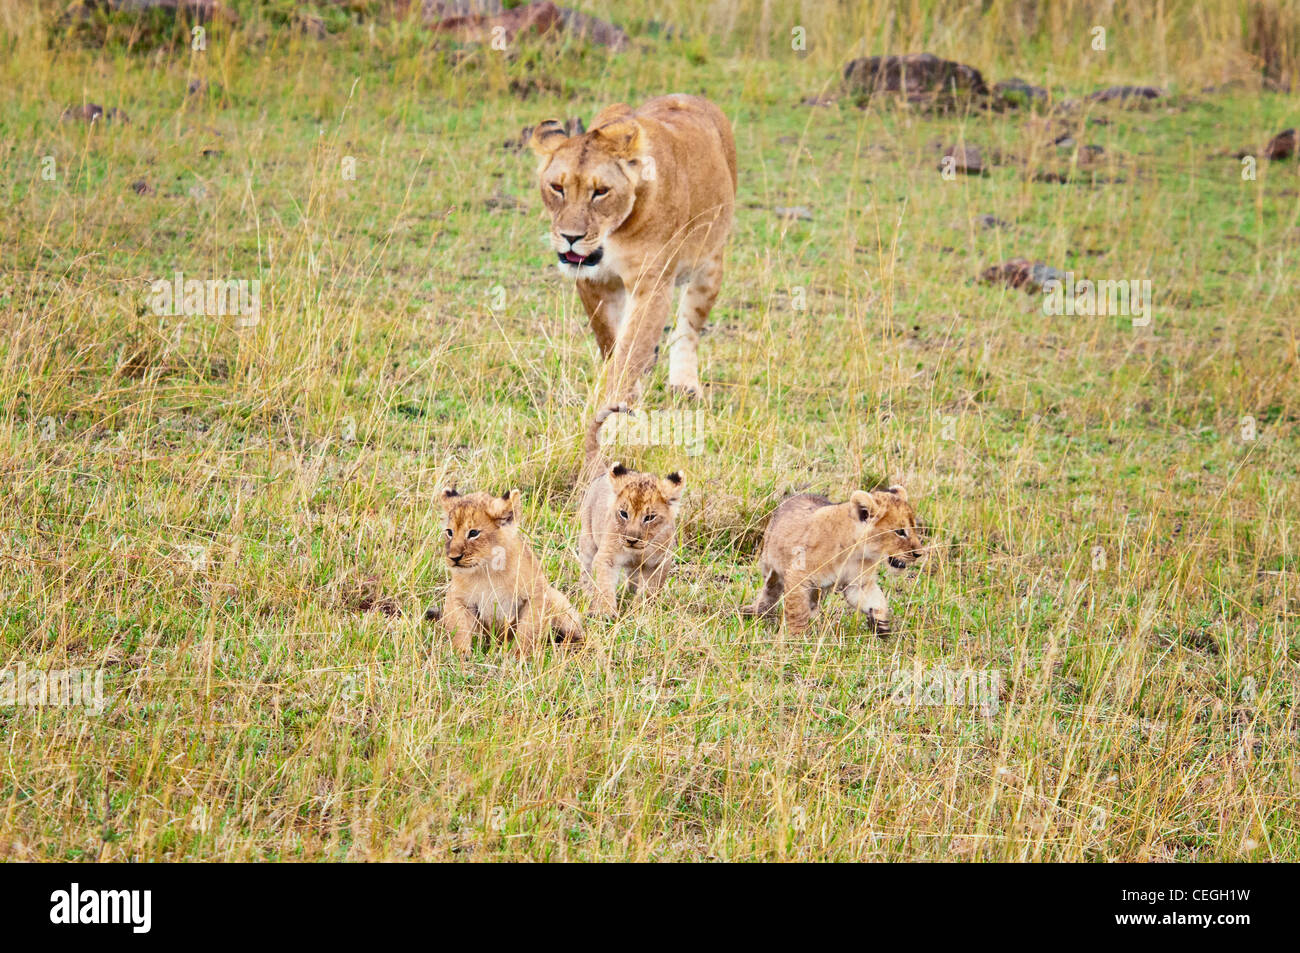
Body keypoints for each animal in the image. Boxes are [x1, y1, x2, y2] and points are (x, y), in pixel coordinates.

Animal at [432, 487, 583, 656]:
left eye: (473, 533)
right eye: (449, 532)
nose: (454, 558)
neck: (487, 570)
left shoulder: (536, 595)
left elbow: (528, 631)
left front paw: (518, 656)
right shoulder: (458, 599)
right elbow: (460, 630)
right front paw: (460, 656)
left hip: (556, 599)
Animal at [528, 94, 737, 461]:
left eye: (601, 191)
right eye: (557, 188)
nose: (570, 237)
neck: (613, 235)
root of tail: (693, 96)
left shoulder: (653, 283)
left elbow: (628, 351)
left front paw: (612, 415)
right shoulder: (594, 282)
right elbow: (613, 343)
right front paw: (626, 397)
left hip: (710, 263)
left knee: (688, 327)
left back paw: (685, 385)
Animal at [743, 486, 924, 637]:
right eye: (900, 532)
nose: (919, 553)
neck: (855, 552)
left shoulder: (858, 584)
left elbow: (876, 600)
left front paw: (881, 623)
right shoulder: (798, 575)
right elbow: (797, 612)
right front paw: (796, 639)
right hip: (770, 563)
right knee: (771, 588)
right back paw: (757, 610)